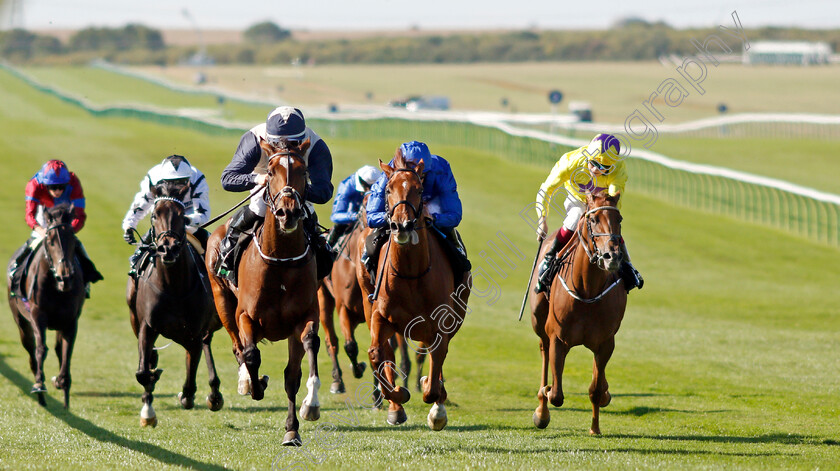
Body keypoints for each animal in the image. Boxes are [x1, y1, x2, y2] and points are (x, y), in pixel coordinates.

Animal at [6, 206, 84, 410]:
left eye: (73, 239)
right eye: (50, 241)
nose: (66, 277)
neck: (57, 288)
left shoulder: (70, 320)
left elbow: (66, 350)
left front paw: (62, 382)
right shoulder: (37, 315)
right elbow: (41, 348)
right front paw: (39, 385)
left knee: (58, 348)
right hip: (21, 321)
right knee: (31, 350)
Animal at [125, 183, 223, 428]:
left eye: (182, 216)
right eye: (154, 214)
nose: (167, 248)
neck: (174, 288)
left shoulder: (193, 332)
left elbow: (189, 380)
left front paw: (187, 395)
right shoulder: (147, 326)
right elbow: (142, 372)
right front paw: (148, 410)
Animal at [207, 136, 322, 446]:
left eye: (304, 170)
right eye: (270, 171)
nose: (288, 212)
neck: (280, 259)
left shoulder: (305, 316)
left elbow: (306, 352)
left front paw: (308, 409)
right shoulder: (245, 316)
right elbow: (250, 355)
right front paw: (255, 383)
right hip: (222, 302)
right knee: (238, 347)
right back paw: (247, 381)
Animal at [356, 150, 470, 432]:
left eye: (418, 189)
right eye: (388, 190)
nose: (402, 225)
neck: (410, 274)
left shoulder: (441, 322)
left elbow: (436, 363)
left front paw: (434, 402)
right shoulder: (380, 315)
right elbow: (376, 353)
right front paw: (398, 395)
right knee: (386, 353)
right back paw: (396, 408)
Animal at [528, 191, 628, 436]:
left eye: (619, 219)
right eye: (593, 220)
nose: (611, 256)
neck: (587, 289)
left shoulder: (606, 342)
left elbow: (596, 389)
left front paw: (595, 427)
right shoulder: (558, 339)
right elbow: (556, 394)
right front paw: (545, 394)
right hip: (539, 322)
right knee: (543, 351)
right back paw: (541, 408)